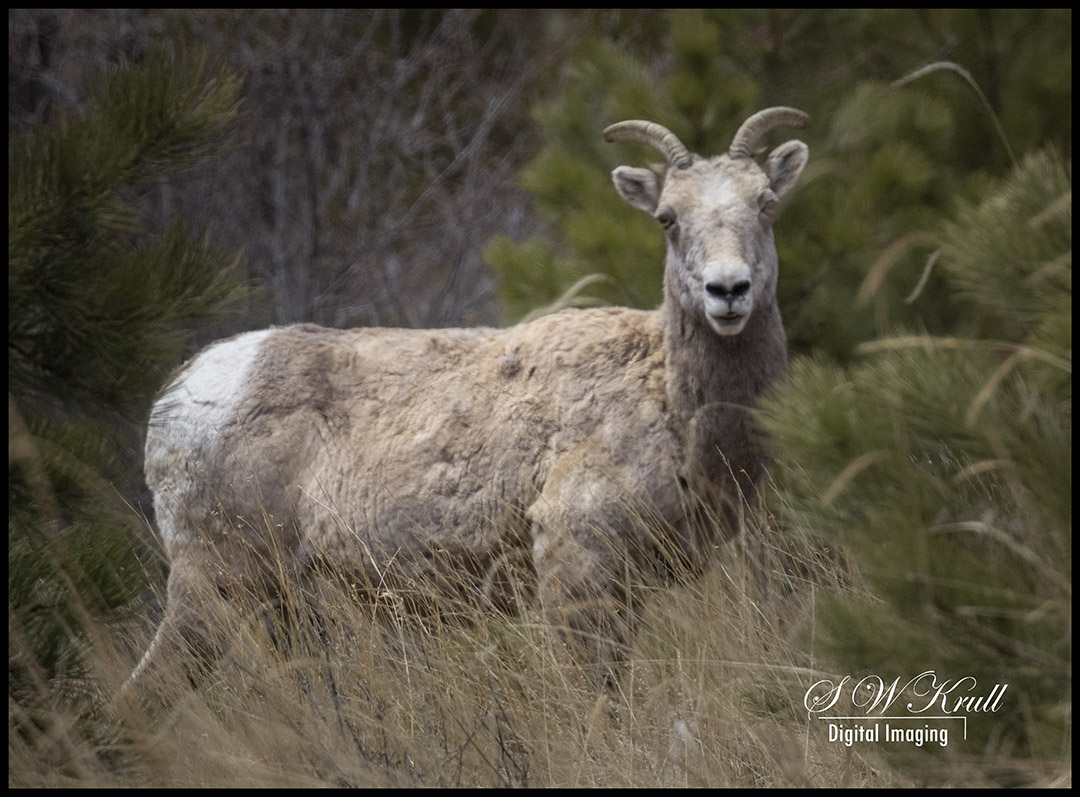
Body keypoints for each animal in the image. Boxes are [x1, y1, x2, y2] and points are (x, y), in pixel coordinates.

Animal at [129, 107, 810, 699]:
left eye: (766, 204)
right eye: (668, 218)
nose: (728, 290)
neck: (669, 399)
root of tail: (177, 398)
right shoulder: (576, 562)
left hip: (275, 604)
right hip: (215, 585)